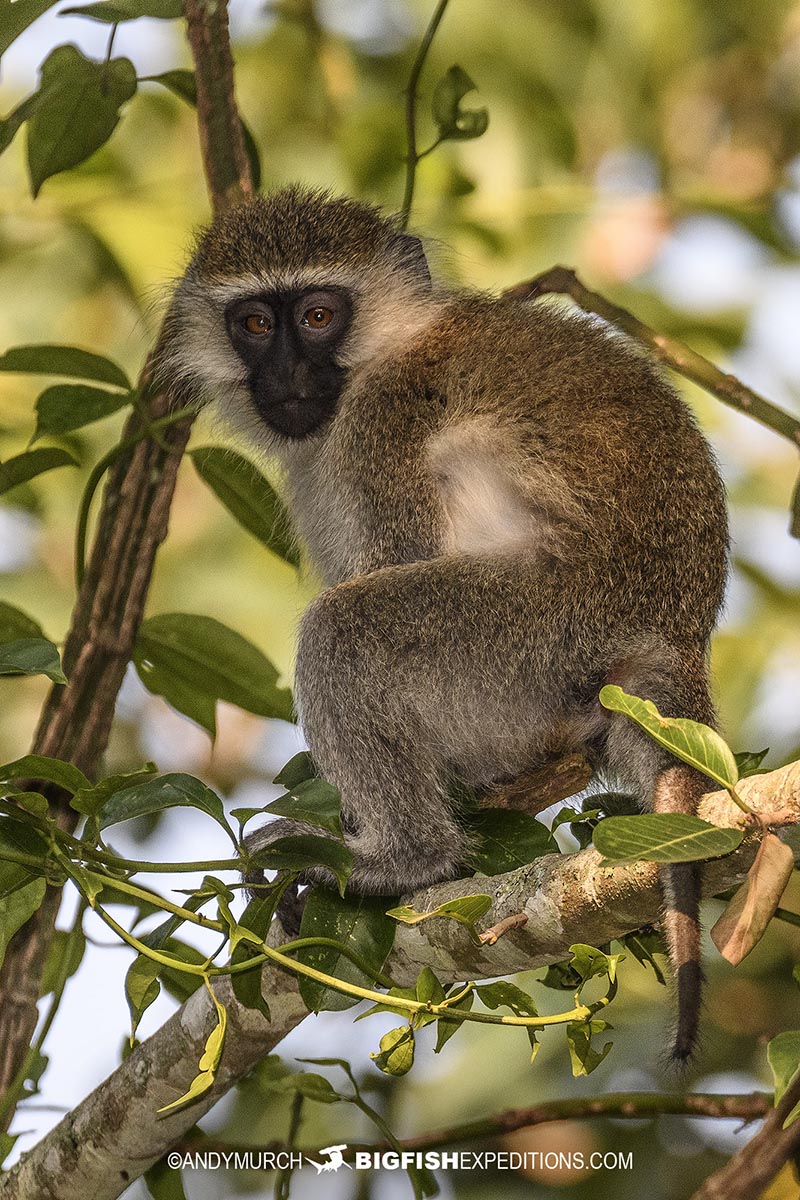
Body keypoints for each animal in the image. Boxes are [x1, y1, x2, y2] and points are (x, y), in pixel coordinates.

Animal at [159, 189, 729, 1060]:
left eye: (319, 315)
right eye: (254, 322)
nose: (286, 373)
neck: (383, 351)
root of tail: (675, 633)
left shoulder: (381, 426)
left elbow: (394, 559)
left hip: (535, 626)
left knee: (348, 627)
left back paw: (407, 860)